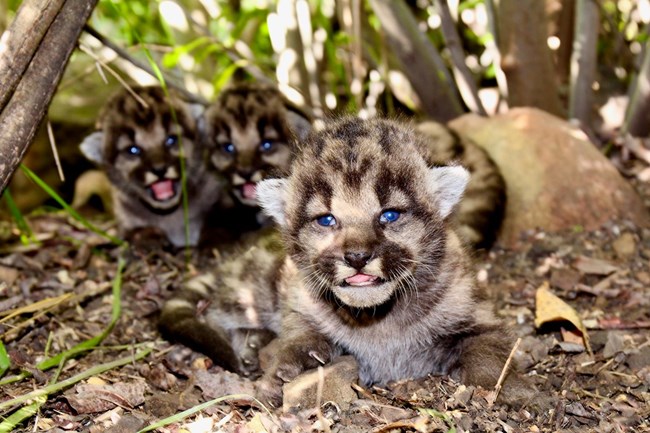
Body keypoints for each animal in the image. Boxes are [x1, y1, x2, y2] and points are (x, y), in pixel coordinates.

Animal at [77, 85, 220, 246]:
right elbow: (134, 232)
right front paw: (149, 237)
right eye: (133, 150)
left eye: (171, 139)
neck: (169, 215)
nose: (159, 169)